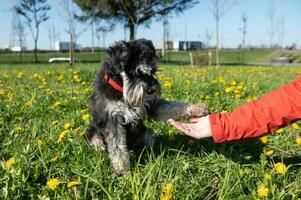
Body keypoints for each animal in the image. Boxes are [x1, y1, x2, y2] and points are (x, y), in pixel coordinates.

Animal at [86, 38, 209, 174]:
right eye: (135, 73)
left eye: (153, 71)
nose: (152, 90)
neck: (123, 92)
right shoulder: (113, 118)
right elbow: (117, 146)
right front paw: (121, 169)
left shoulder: (152, 105)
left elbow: (173, 106)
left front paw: (197, 108)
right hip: (94, 128)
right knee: (94, 137)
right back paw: (100, 146)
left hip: (146, 132)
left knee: (148, 140)